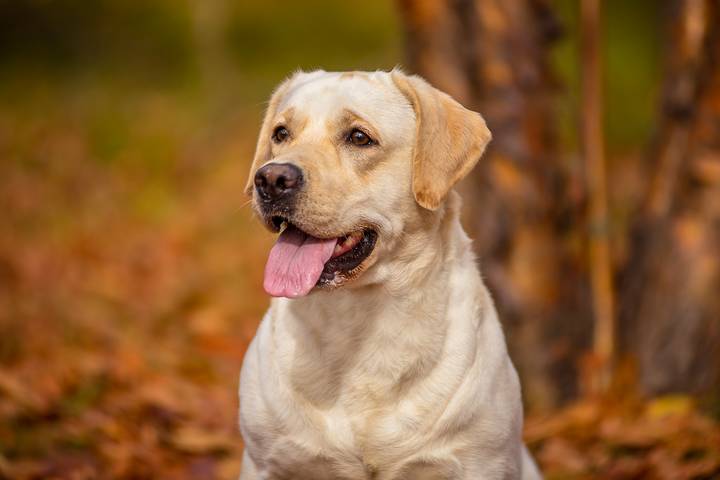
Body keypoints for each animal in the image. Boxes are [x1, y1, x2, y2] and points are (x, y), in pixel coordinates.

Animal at [239, 68, 544, 480]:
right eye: (281, 133)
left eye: (358, 137)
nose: (270, 178)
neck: (355, 320)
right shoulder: (264, 462)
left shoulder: (481, 462)